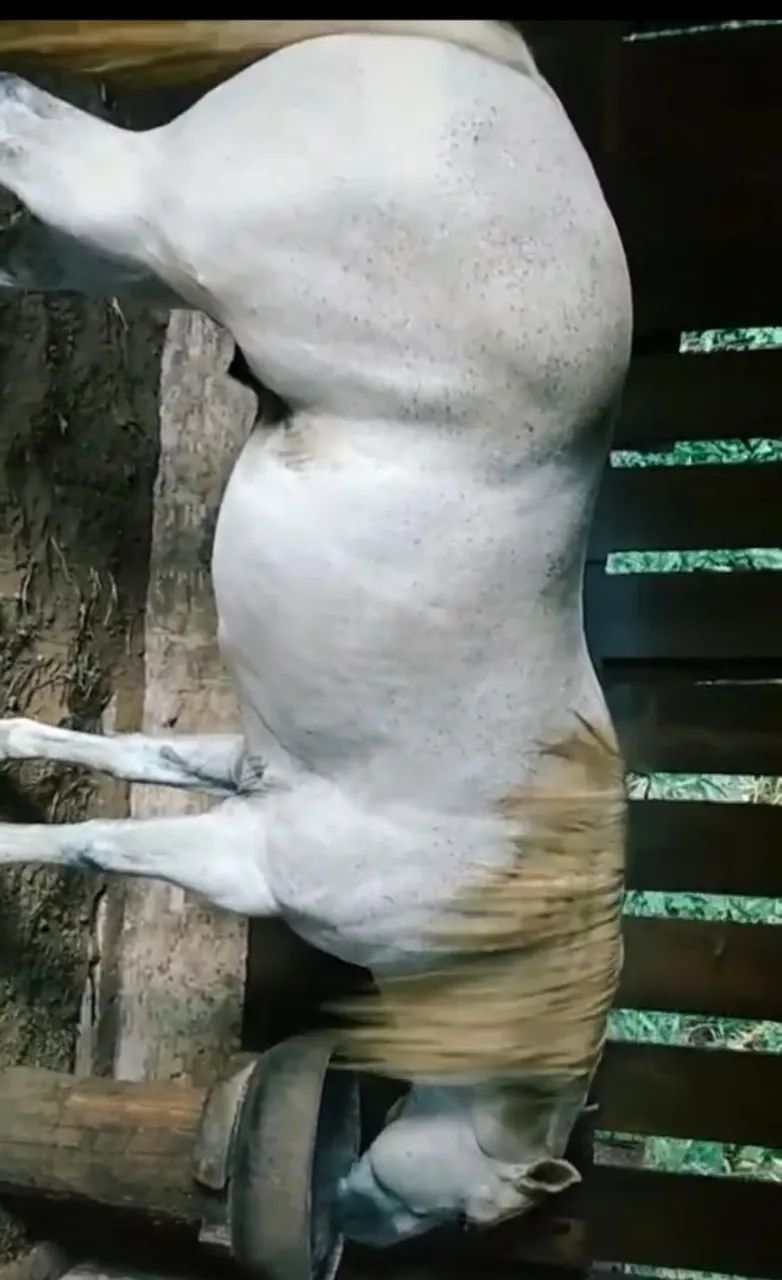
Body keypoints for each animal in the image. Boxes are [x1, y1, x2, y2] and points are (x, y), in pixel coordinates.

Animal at [0, 20, 631, 1252]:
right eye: (451, 1220)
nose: (331, 1216)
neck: (494, 890)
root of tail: (517, 74)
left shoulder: (249, 770)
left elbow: (121, 758)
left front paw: (8, 741)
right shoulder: (246, 862)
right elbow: (95, 844)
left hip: (136, 257)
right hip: (138, 207)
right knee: (31, 134)